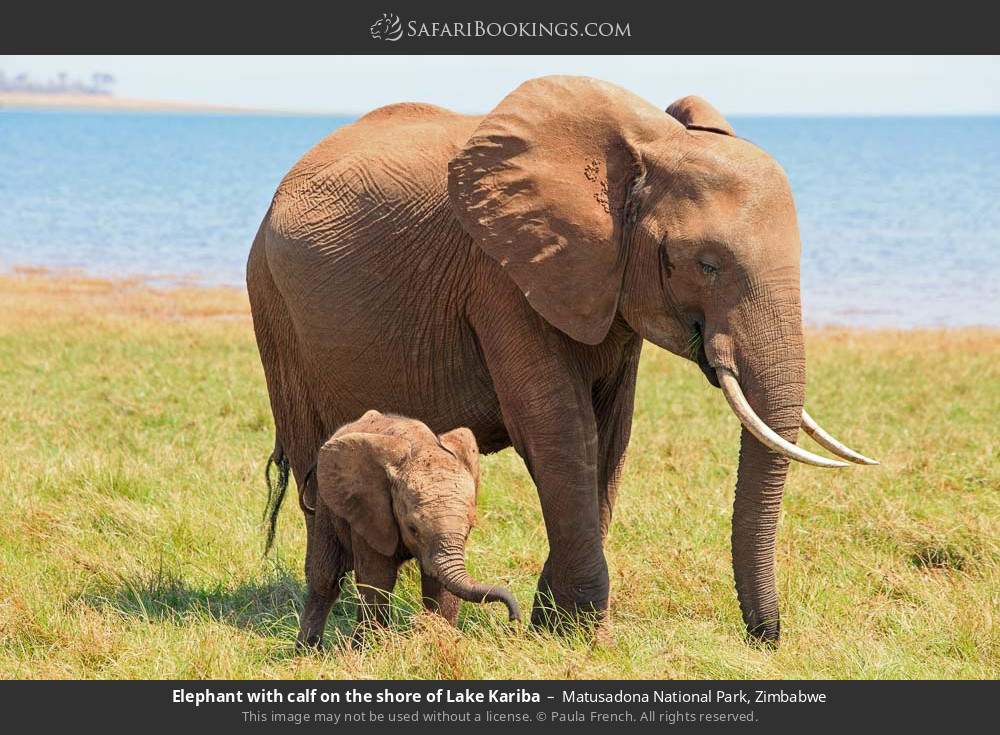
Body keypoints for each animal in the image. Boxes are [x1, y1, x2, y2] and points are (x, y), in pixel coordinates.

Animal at [297, 410, 520, 648]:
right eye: (413, 529)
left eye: (469, 530)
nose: (514, 620)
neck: (421, 447)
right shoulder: (370, 511)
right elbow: (378, 579)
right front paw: (370, 649)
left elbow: (438, 585)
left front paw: (439, 640)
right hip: (327, 504)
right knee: (327, 577)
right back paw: (308, 651)